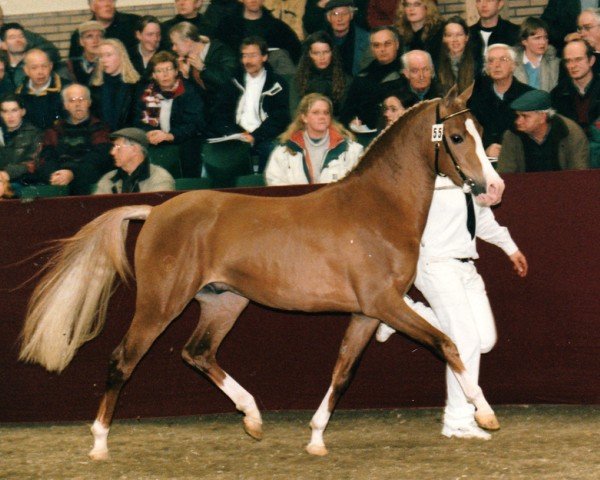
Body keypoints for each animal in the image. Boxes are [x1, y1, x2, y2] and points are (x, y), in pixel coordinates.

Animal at [19, 85, 502, 458]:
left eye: (480, 133)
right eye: (456, 136)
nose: (493, 187)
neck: (377, 208)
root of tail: (154, 212)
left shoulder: (368, 313)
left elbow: (343, 372)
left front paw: (316, 439)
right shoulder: (385, 303)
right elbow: (447, 343)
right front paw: (485, 413)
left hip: (225, 302)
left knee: (197, 352)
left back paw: (252, 416)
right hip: (161, 304)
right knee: (124, 359)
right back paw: (100, 443)